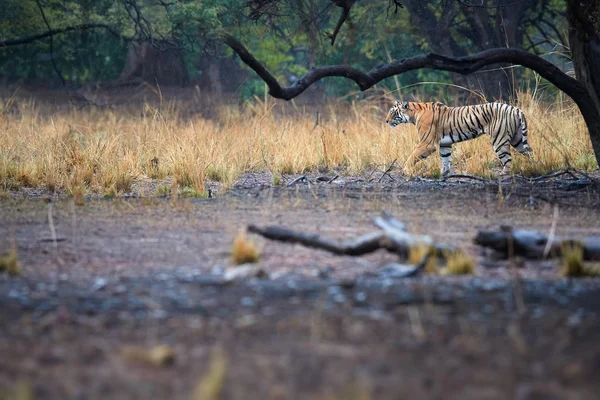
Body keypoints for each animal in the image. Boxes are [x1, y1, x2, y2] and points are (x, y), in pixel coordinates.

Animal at [386, 100, 532, 177]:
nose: (386, 121)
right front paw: (444, 175)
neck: (414, 114)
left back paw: (503, 175)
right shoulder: (445, 144)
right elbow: (445, 160)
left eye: (393, 112)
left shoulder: (427, 144)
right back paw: (534, 167)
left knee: (508, 161)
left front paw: (405, 170)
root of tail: (516, 109)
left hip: (500, 140)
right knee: (530, 152)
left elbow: (412, 156)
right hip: (517, 139)